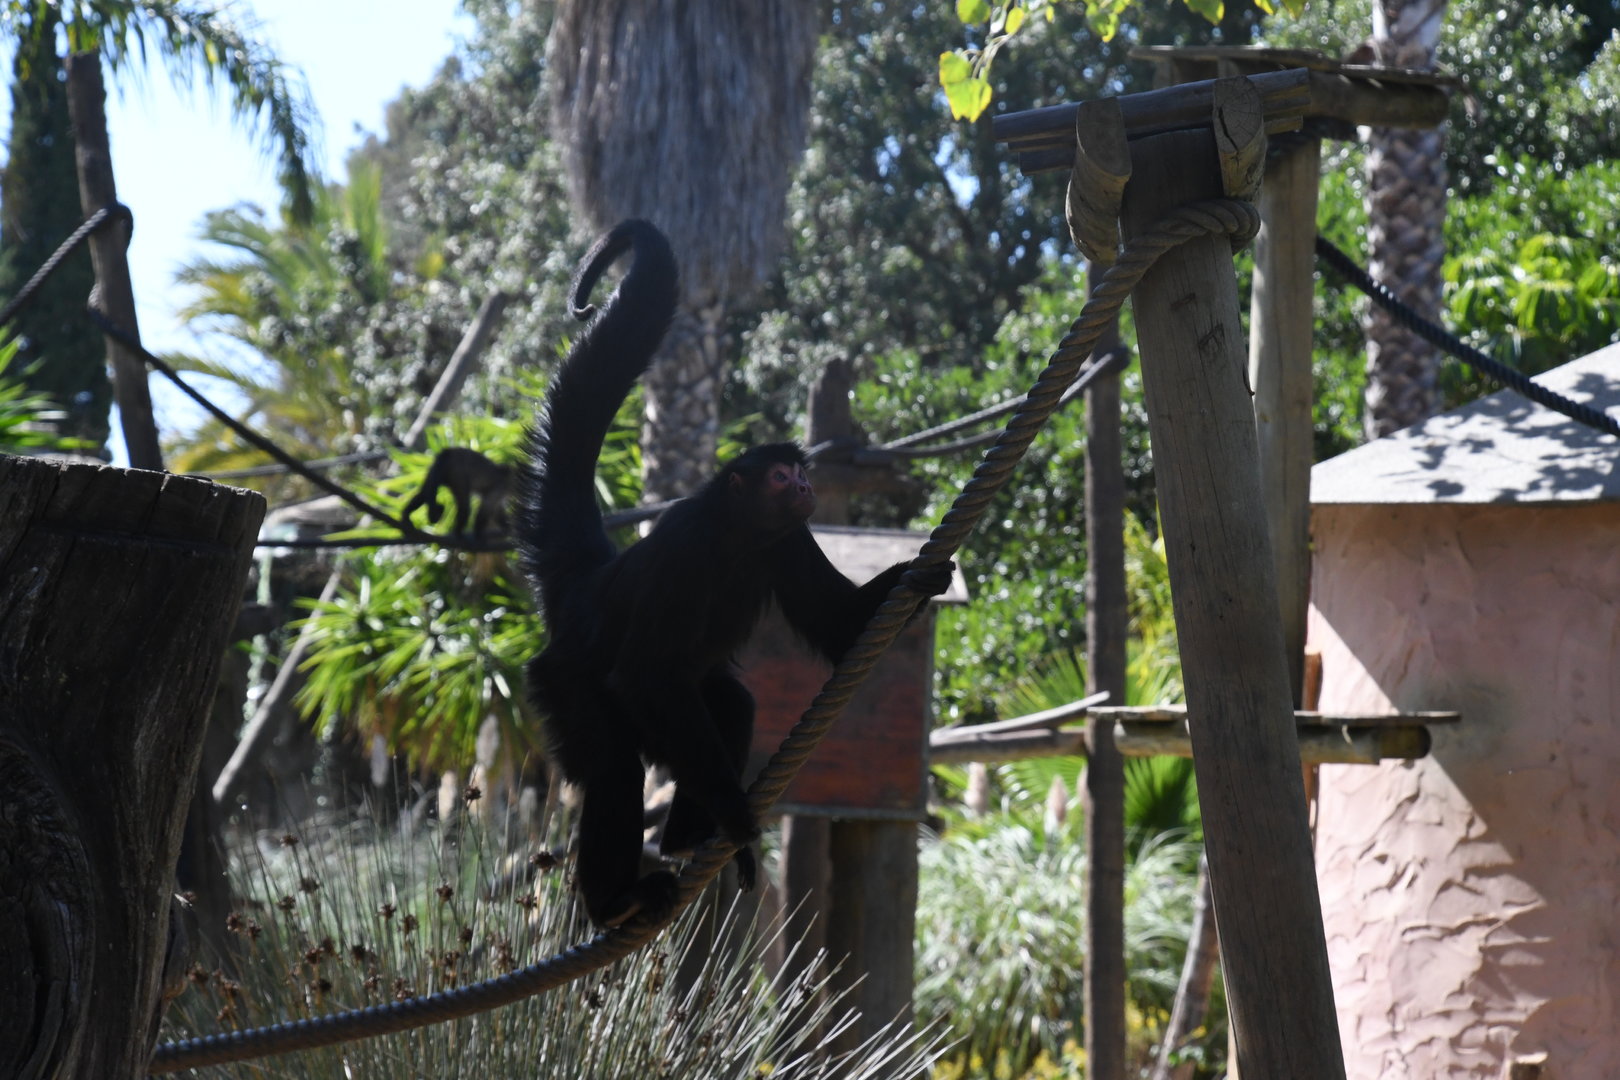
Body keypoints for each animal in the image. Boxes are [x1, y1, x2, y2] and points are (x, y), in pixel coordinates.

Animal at [516, 220, 953, 928]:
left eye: (799, 472)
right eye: (780, 474)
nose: (803, 483)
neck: (736, 539)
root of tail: (585, 588)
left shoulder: (786, 539)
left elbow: (838, 628)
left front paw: (920, 575)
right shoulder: (684, 549)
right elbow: (643, 674)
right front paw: (739, 817)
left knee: (729, 701)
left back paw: (686, 837)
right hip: (564, 681)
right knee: (614, 762)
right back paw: (617, 897)